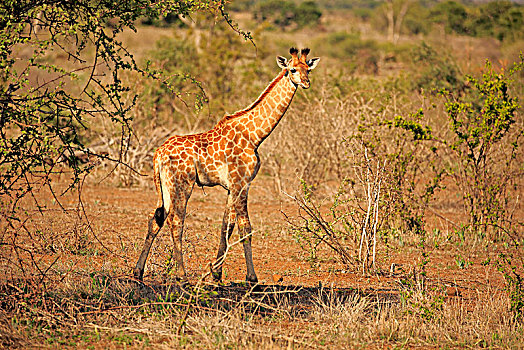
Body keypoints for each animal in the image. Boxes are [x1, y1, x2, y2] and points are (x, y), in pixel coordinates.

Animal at [133, 47, 320, 284]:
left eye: (308, 69)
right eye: (292, 69)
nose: (306, 82)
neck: (255, 135)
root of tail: (158, 154)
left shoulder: (232, 186)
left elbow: (226, 226)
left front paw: (216, 273)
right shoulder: (242, 182)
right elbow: (244, 227)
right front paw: (252, 278)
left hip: (165, 187)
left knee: (155, 217)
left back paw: (138, 272)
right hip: (181, 184)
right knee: (175, 220)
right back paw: (181, 275)